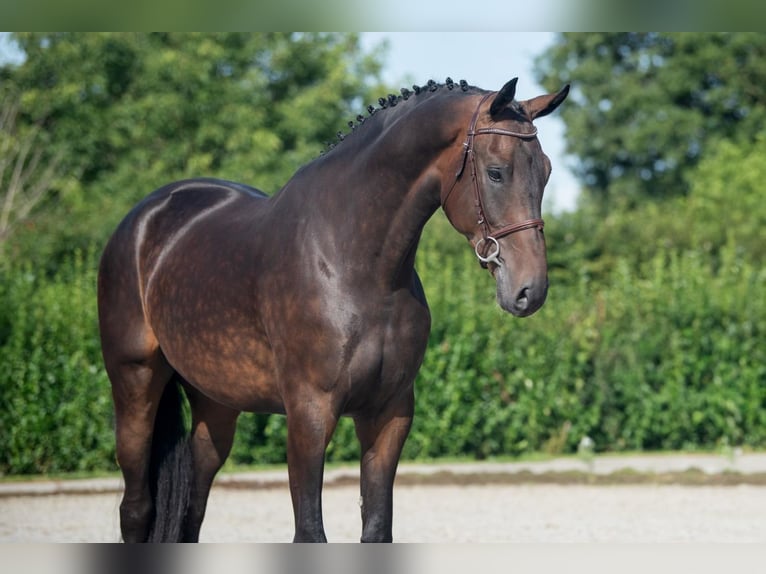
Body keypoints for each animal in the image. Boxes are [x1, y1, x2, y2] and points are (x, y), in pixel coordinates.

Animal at [97, 77, 568, 544]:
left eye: (546, 171)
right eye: (496, 172)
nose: (530, 289)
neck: (356, 263)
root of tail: (142, 220)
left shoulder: (389, 413)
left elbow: (376, 528)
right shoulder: (309, 414)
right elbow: (310, 531)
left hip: (216, 405)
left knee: (192, 511)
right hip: (135, 384)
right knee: (136, 510)